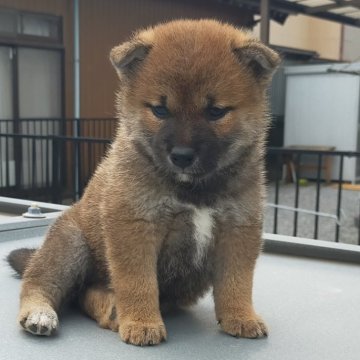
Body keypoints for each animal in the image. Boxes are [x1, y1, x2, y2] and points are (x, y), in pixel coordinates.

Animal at [7, 19, 280, 346]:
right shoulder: (135, 226)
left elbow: (236, 282)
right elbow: (138, 282)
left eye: (216, 112)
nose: (182, 156)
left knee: (85, 294)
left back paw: (110, 308)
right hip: (69, 245)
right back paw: (43, 313)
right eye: (160, 110)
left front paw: (241, 316)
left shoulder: (238, 228)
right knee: (42, 283)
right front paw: (141, 322)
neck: (193, 190)